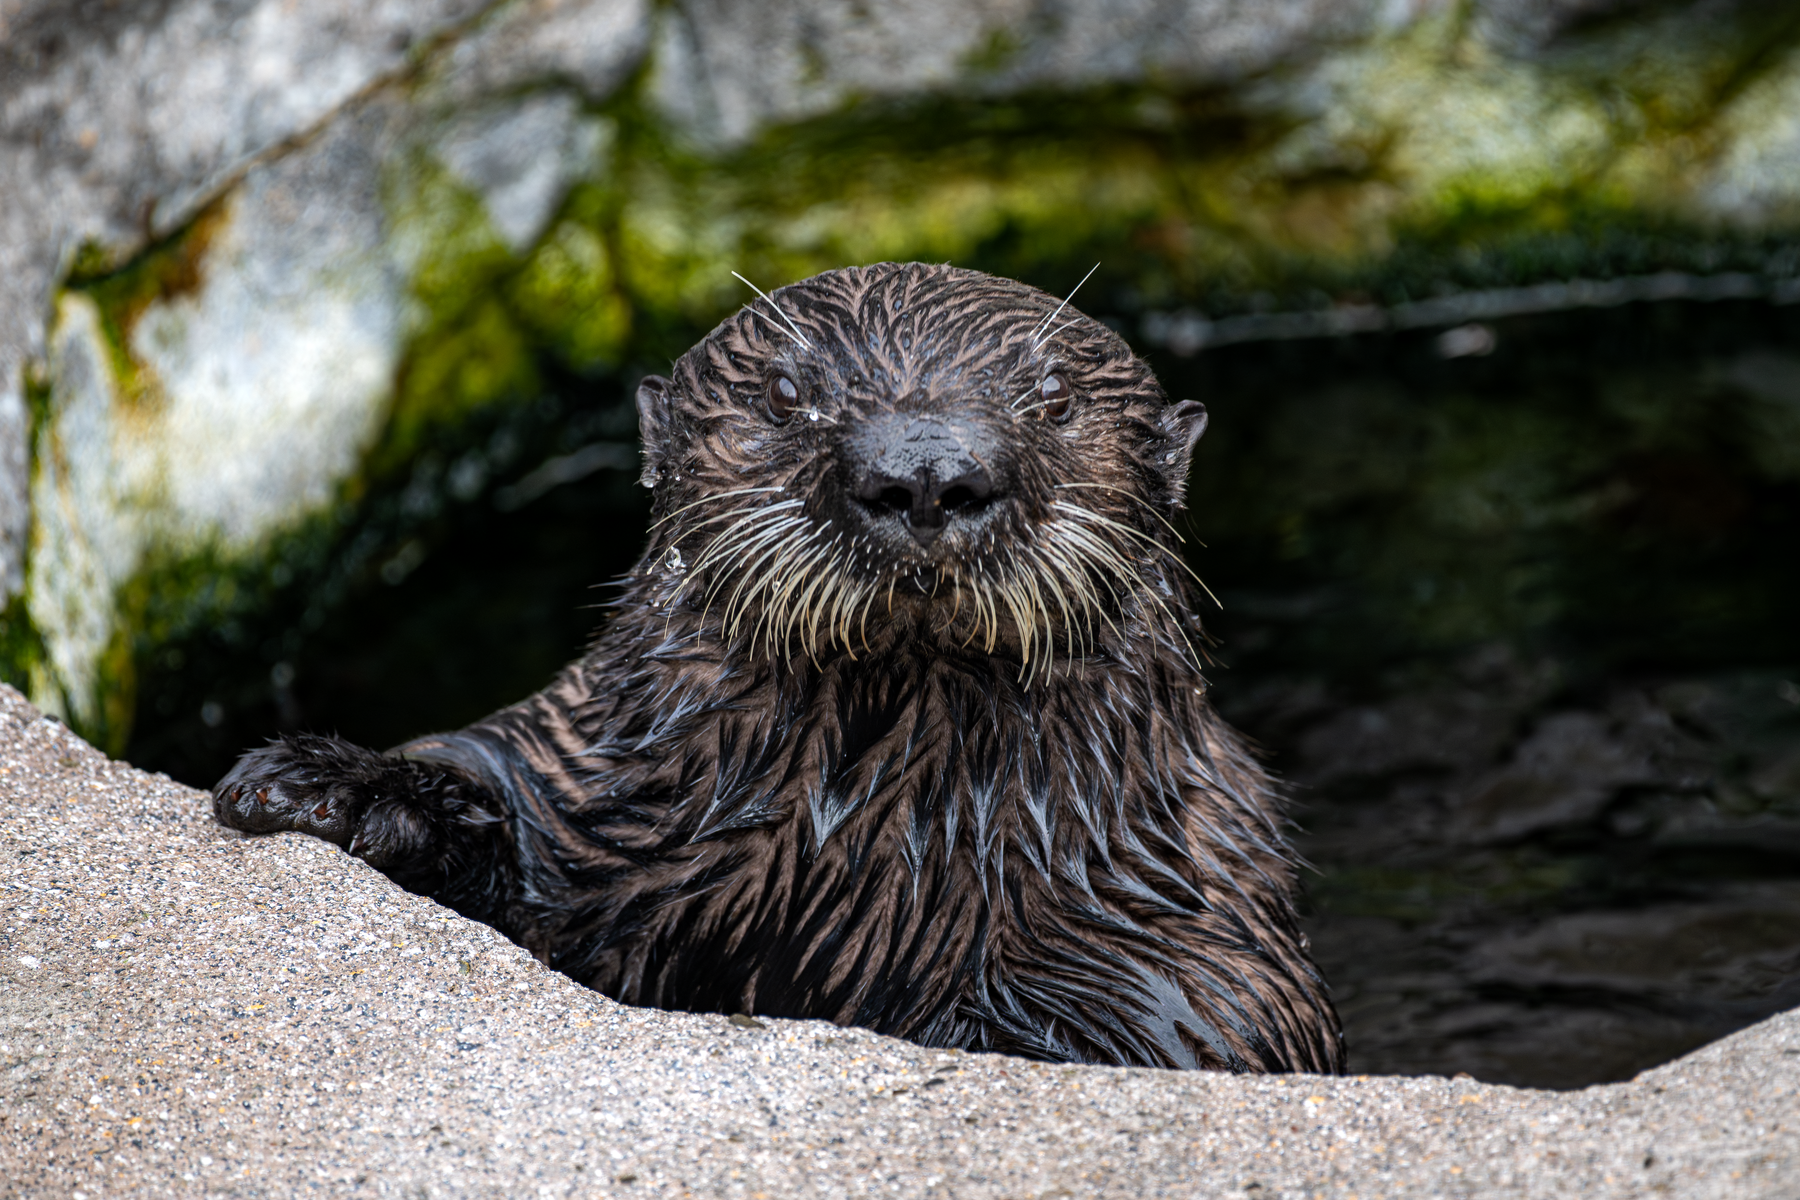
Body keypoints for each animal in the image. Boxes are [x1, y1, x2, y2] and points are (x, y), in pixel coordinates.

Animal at [214, 262, 1343, 1073]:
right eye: (787, 392)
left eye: (1056, 399)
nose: (924, 471)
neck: (858, 861)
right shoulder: (576, 782)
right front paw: (330, 789)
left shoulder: (1196, 966)